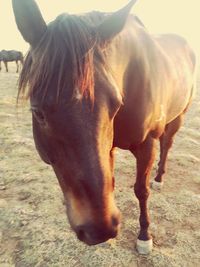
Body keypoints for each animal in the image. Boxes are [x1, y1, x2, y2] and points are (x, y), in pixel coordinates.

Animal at [12, 0, 197, 255]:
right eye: (38, 112)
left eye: (116, 104)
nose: (99, 230)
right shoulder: (107, 148)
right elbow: (111, 181)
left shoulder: (146, 143)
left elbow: (141, 190)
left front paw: (144, 235)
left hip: (179, 115)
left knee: (167, 144)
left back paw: (159, 178)